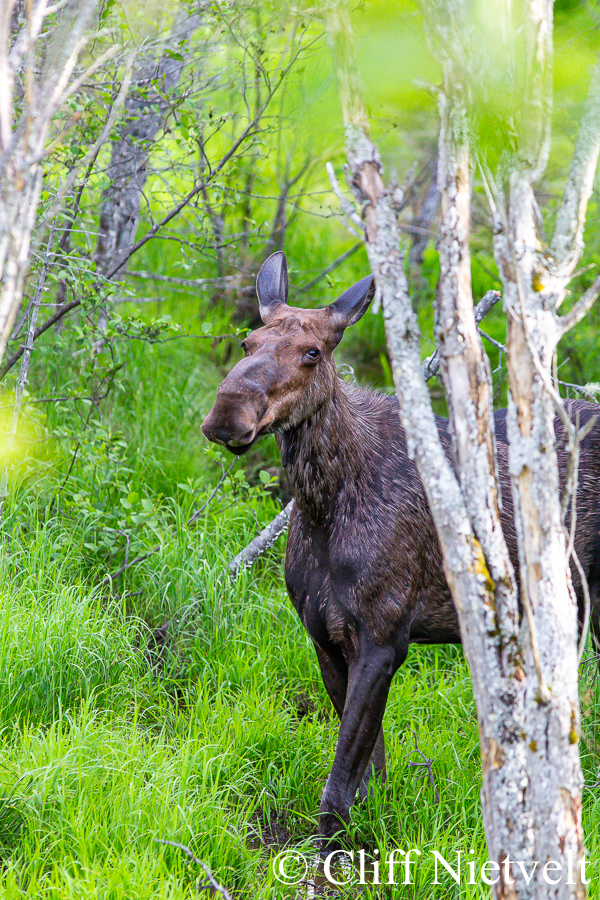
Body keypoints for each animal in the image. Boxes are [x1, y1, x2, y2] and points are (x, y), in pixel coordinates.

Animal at [202, 251, 600, 844]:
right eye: (248, 342)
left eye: (313, 352)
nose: (229, 413)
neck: (323, 507)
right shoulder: (324, 637)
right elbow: (369, 769)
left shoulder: (384, 639)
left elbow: (340, 781)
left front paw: (330, 852)